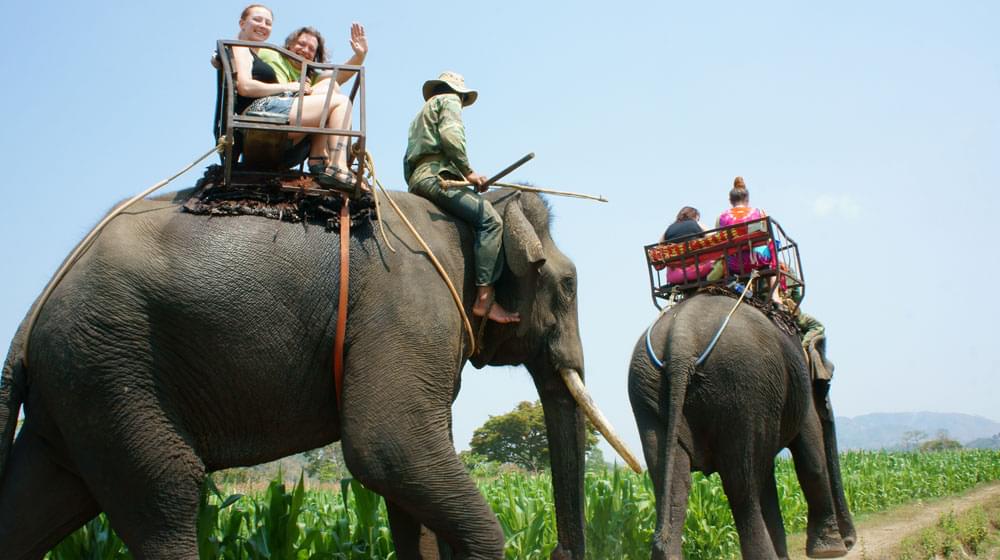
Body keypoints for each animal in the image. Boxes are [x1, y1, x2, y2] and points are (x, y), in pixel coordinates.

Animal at [0, 189, 628, 560]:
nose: (558, 552)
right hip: (113, 364)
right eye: (569, 285)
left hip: (80, 390)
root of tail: (29, 319)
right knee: (166, 495)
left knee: (41, 500)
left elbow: (406, 480)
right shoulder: (410, 308)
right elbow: (388, 449)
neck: (472, 211)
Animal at [628, 296, 856, 556]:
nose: (850, 542)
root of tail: (681, 343)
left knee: (673, 479)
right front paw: (830, 551)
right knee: (742, 483)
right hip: (743, 385)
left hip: (647, 390)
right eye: (826, 383)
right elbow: (811, 457)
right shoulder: (800, 387)